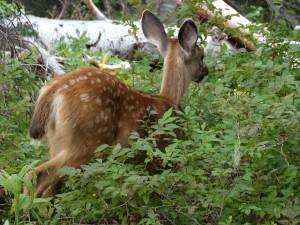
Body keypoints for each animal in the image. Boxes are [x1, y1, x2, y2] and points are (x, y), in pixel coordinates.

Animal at [25, 10, 209, 197]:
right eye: (202, 56)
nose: (205, 72)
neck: (169, 99)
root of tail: (53, 90)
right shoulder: (164, 151)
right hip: (87, 139)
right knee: (35, 175)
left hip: (56, 143)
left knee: (49, 188)